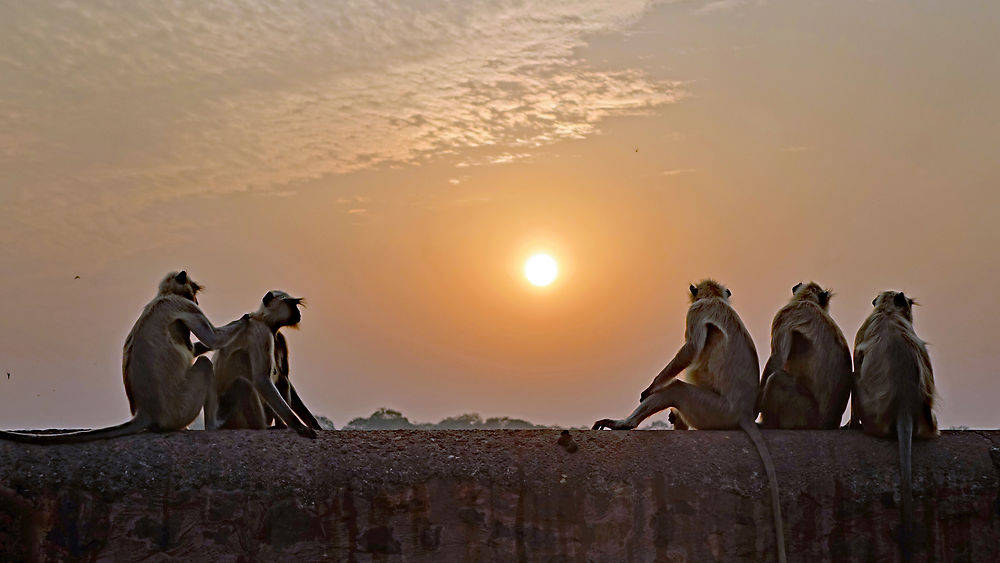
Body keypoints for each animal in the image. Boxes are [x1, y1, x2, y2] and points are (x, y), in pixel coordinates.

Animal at [0, 274, 249, 446]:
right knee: (205, 366)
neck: (161, 296)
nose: (196, 299)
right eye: (193, 292)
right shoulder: (182, 305)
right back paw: (215, 425)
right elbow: (213, 339)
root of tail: (146, 412)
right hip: (181, 407)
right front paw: (246, 318)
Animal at [200, 288, 316, 438]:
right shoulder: (261, 332)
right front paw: (299, 426)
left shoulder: (279, 338)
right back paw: (263, 427)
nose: (298, 313)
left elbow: (283, 377)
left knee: (282, 380)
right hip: (231, 418)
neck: (263, 320)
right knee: (242, 378)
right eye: (291, 304)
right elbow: (261, 379)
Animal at [588, 282, 784, 563]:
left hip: (715, 412)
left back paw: (626, 423)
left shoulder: (697, 310)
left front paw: (650, 388)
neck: (715, 299)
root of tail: (744, 415)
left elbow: (690, 349)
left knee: (678, 389)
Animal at [756, 284, 852, 430]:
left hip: (805, 414)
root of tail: (828, 424)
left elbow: (777, 357)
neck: (808, 300)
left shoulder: (786, 312)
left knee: (776, 379)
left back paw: (767, 423)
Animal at [852, 294, 936, 560]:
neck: (887, 311)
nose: (910, 313)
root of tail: (904, 409)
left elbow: (857, 358)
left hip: (870, 413)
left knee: (854, 375)